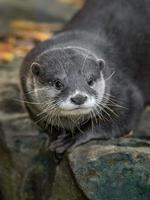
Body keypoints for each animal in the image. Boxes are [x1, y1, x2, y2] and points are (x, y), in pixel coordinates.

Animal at [19, 0, 150, 159]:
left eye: (90, 80)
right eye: (57, 83)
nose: (79, 98)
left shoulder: (123, 91)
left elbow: (121, 120)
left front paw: (72, 138)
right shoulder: (29, 101)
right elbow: (47, 124)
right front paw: (55, 136)